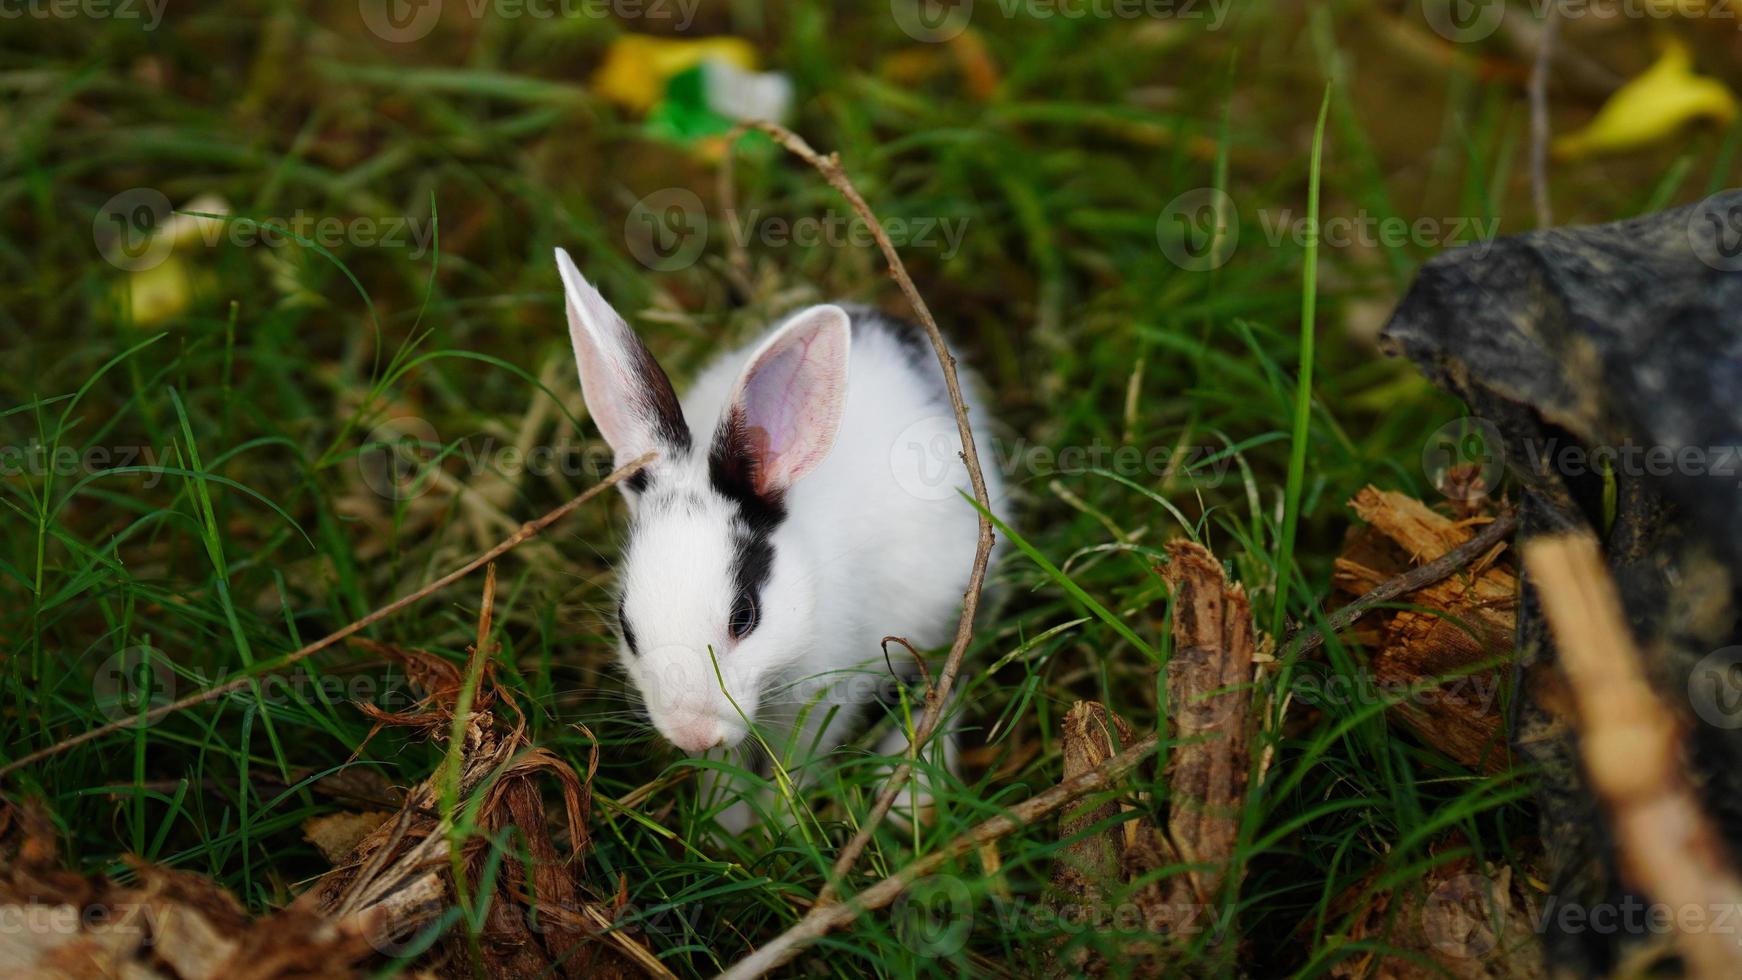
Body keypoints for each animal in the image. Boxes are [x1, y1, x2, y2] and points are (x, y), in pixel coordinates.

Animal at [557, 248, 1010, 832]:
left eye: (744, 617)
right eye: (626, 627)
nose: (692, 733)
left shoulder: (825, 697)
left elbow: (797, 763)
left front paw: (781, 825)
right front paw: (723, 830)